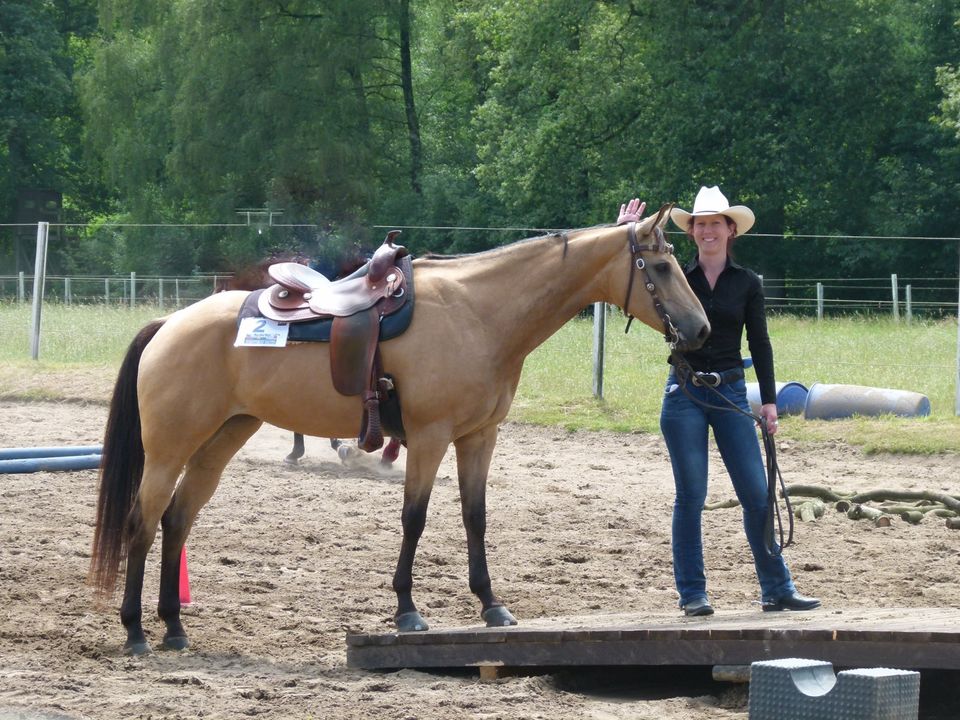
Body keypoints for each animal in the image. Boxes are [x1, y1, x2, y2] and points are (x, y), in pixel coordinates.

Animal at [90, 205, 708, 656]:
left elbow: (475, 518)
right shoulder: (430, 438)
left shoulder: (479, 438)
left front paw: (491, 605)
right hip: (168, 450)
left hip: (220, 442)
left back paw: (174, 629)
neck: (480, 313)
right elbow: (415, 519)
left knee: (176, 521)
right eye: (659, 268)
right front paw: (408, 610)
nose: (701, 330)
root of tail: (169, 323)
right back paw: (136, 632)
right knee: (141, 524)